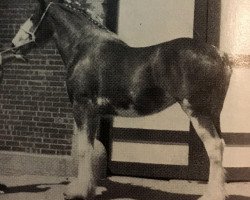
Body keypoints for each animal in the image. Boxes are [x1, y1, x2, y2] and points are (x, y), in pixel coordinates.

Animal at [11, 0, 232, 199]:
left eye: (33, 16)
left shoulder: (81, 107)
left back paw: (212, 195)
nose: (14, 45)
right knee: (220, 146)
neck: (85, 48)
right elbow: (90, 148)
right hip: (214, 113)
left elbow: (83, 149)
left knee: (214, 147)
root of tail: (220, 55)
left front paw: (77, 192)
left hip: (197, 111)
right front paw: (88, 189)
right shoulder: (94, 114)